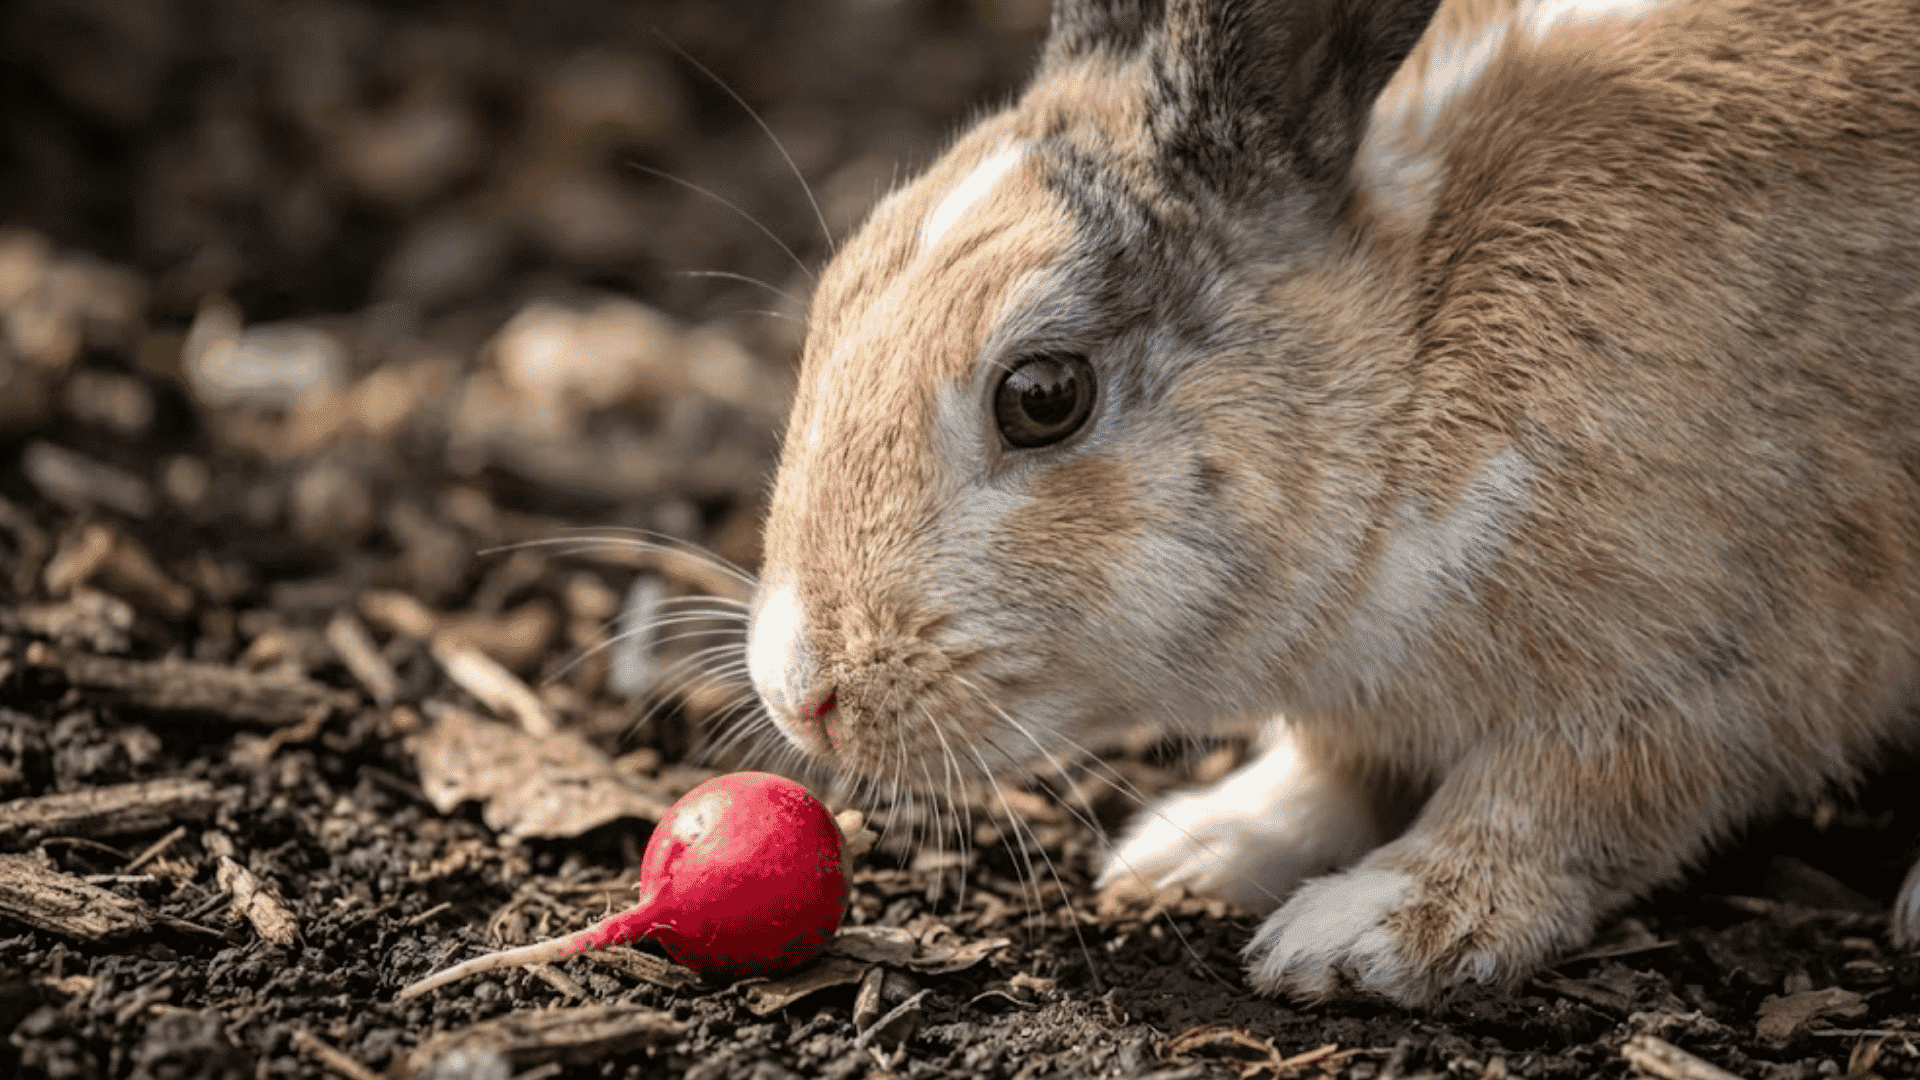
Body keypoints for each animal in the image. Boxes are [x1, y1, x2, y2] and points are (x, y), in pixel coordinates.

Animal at [744, 0, 1920, 1006]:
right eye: (834, 295)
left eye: (1043, 396)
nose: (801, 694)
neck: (1410, 365)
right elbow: (1328, 772)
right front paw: (1193, 854)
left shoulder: (1702, 668)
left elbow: (1553, 807)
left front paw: (1362, 933)